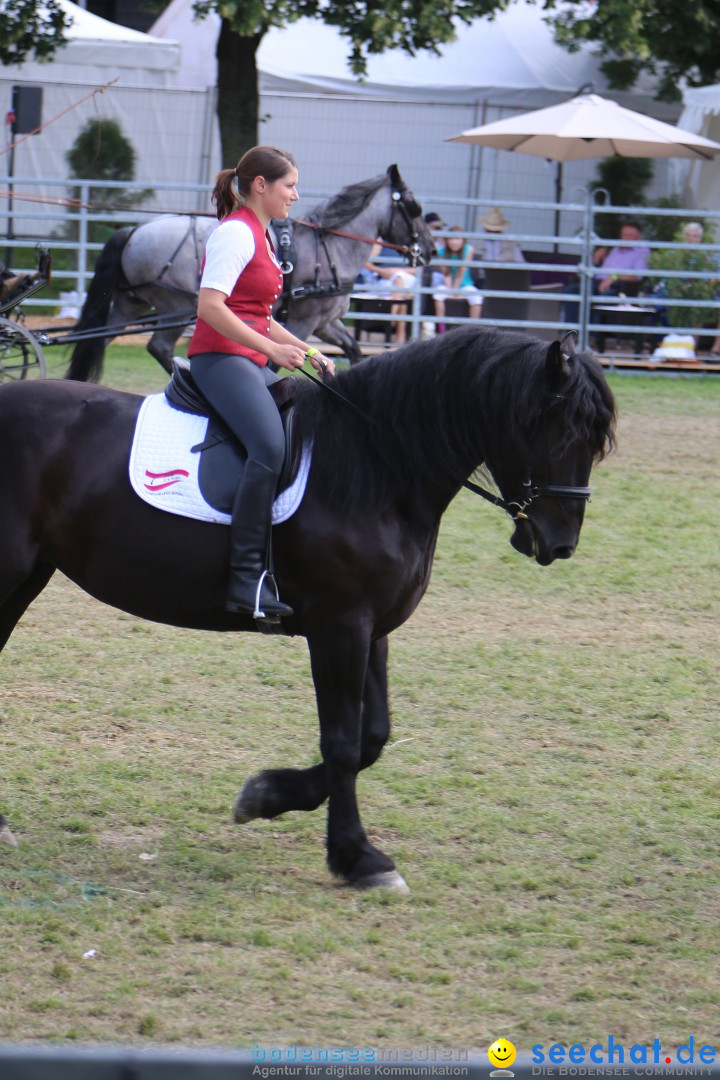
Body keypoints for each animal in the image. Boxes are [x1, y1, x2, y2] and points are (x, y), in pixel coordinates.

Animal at [1, 330, 613, 894]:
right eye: (561, 431)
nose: (561, 544)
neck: (379, 464)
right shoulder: (339, 627)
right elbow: (341, 743)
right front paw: (358, 857)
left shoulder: (372, 628)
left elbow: (373, 737)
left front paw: (264, 796)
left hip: (25, 579)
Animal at [66, 162, 433, 378]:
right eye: (413, 206)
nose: (428, 250)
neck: (330, 246)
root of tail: (134, 230)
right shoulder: (304, 320)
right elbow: (275, 358)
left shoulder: (326, 323)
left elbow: (353, 350)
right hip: (176, 307)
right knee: (158, 346)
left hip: (130, 305)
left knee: (98, 340)